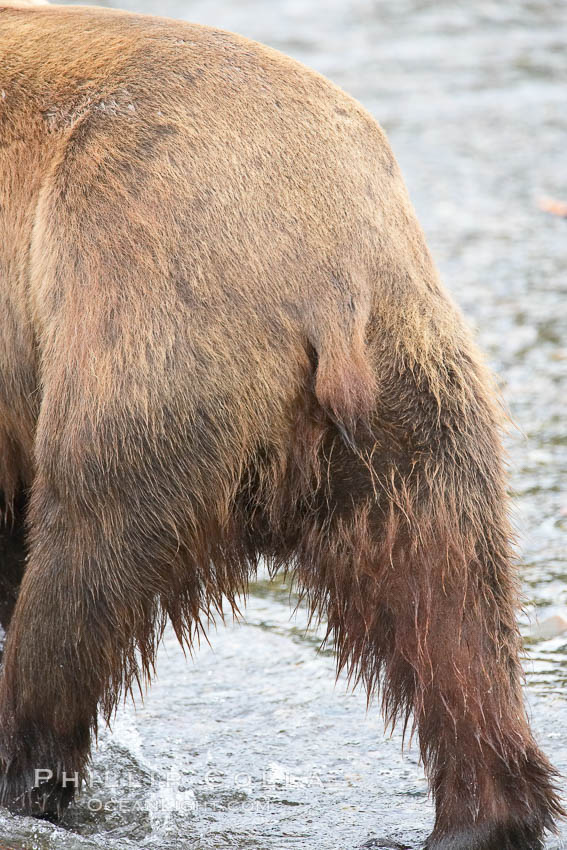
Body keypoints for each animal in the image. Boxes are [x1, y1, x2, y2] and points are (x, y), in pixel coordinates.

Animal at [0, 3, 564, 844]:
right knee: (448, 609)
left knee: (77, 570)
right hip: (415, 398)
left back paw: (24, 774)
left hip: (138, 331)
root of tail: (325, 276)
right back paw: (482, 810)